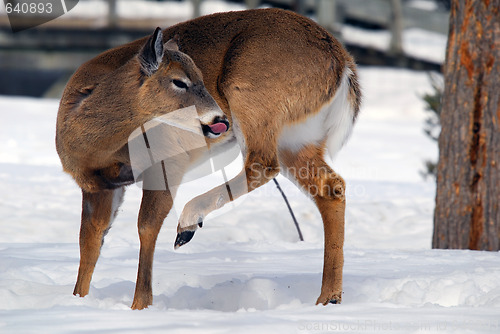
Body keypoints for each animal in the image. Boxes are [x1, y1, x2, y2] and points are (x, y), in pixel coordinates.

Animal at [55, 7, 360, 310]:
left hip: (251, 92)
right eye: (179, 81)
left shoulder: (165, 162)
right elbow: (89, 238)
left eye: (201, 78)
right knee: (330, 187)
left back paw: (188, 223)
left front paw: (141, 305)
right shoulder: (96, 186)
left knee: (262, 163)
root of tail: (342, 62)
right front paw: (77, 299)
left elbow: (146, 225)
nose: (218, 118)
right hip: (297, 137)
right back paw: (329, 297)